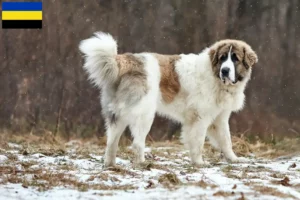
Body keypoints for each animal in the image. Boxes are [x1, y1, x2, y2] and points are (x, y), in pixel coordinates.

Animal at [79, 32, 258, 166]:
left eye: (235, 58)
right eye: (222, 58)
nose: (225, 71)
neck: (216, 77)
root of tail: (126, 60)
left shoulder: (219, 118)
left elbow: (226, 140)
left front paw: (233, 159)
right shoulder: (200, 118)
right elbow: (198, 141)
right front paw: (199, 163)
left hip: (118, 115)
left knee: (111, 141)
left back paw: (110, 164)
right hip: (144, 114)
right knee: (137, 142)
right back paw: (143, 163)